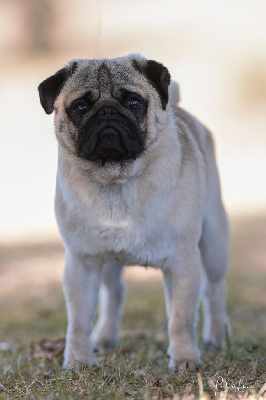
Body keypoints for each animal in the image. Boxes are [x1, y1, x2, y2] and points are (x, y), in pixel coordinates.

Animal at [38, 54, 230, 372]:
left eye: (133, 102)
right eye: (80, 107)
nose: (107, 114)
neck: (117, 182)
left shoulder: (182, 262)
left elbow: (181, 318)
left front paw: (185, 359)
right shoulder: (82, 263)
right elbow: (78, 321)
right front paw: (78, 360)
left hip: (215, 242)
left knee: (214, 289)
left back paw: (216, 336)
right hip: (105, 263)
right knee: (113, 292)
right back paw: (105, 336)